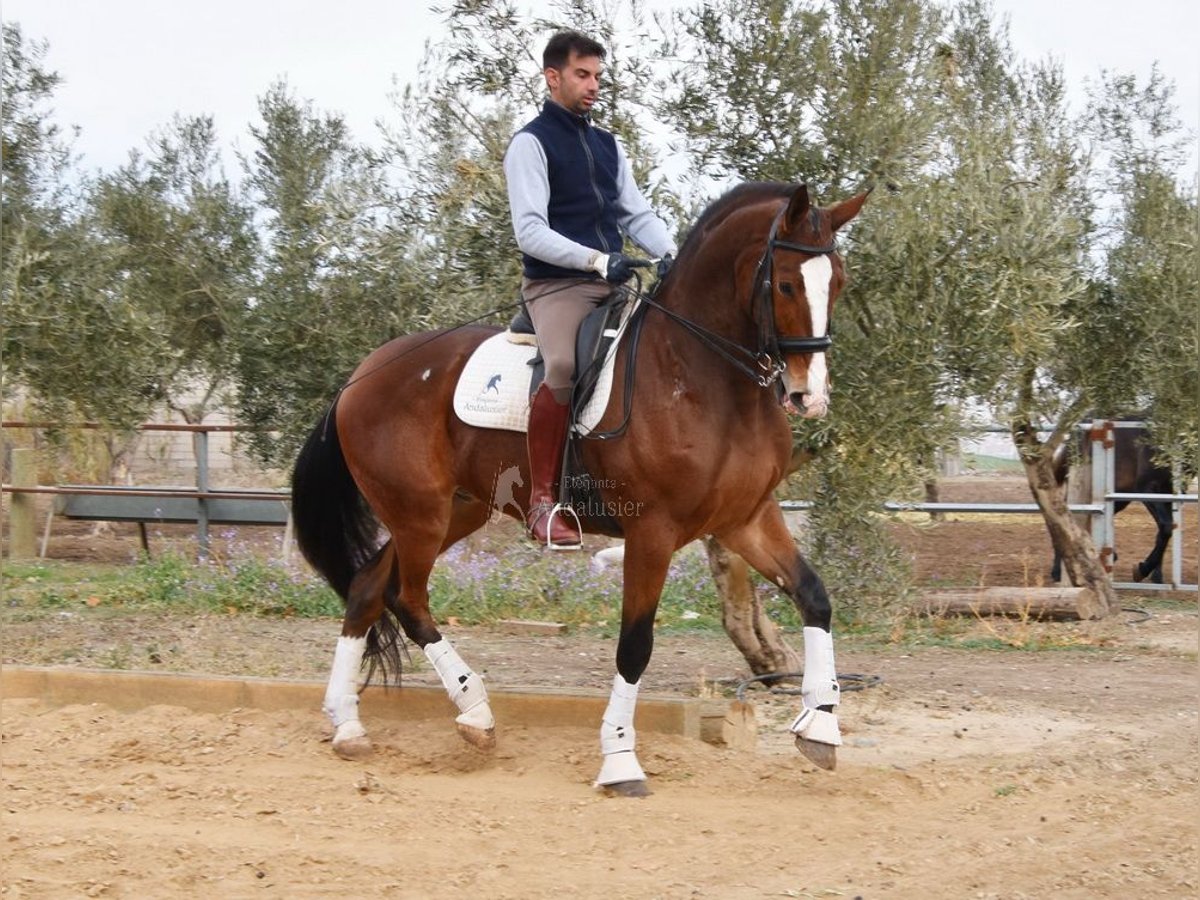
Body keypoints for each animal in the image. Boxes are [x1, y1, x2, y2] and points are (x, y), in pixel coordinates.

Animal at [290, 183, 873, 796]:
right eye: (785, 284)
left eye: (837, 282)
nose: (809, 396)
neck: (702, 376)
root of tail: (361, 375)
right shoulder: (652, 531)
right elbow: (635, 645)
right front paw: (619, 759)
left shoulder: (747, 518)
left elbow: (814, 596)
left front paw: (821, 727)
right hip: (419, 514)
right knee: (408, 599)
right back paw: (476, 712)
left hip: (452, 512)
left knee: (366, 588)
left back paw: (349, 725)